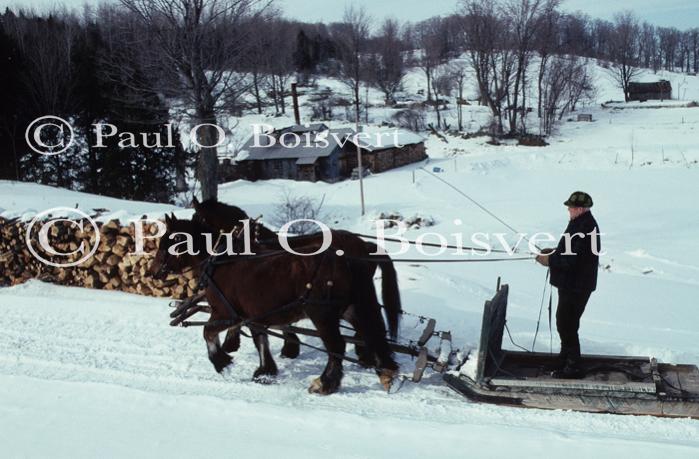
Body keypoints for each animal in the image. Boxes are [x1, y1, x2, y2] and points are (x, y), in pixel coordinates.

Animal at [150, 217, 396, 396]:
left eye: (167, 243)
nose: (152, 272)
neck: (220, 262)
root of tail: (349, 257)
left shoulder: (226, 314)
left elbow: (207, 332)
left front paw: (222, 362)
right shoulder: (254, 315)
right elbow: (261, 340)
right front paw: (265, 371)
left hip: (322, 314)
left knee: (337, 346)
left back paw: (324, 383)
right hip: (353, 307)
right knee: (372, 333)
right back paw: (386, 372)